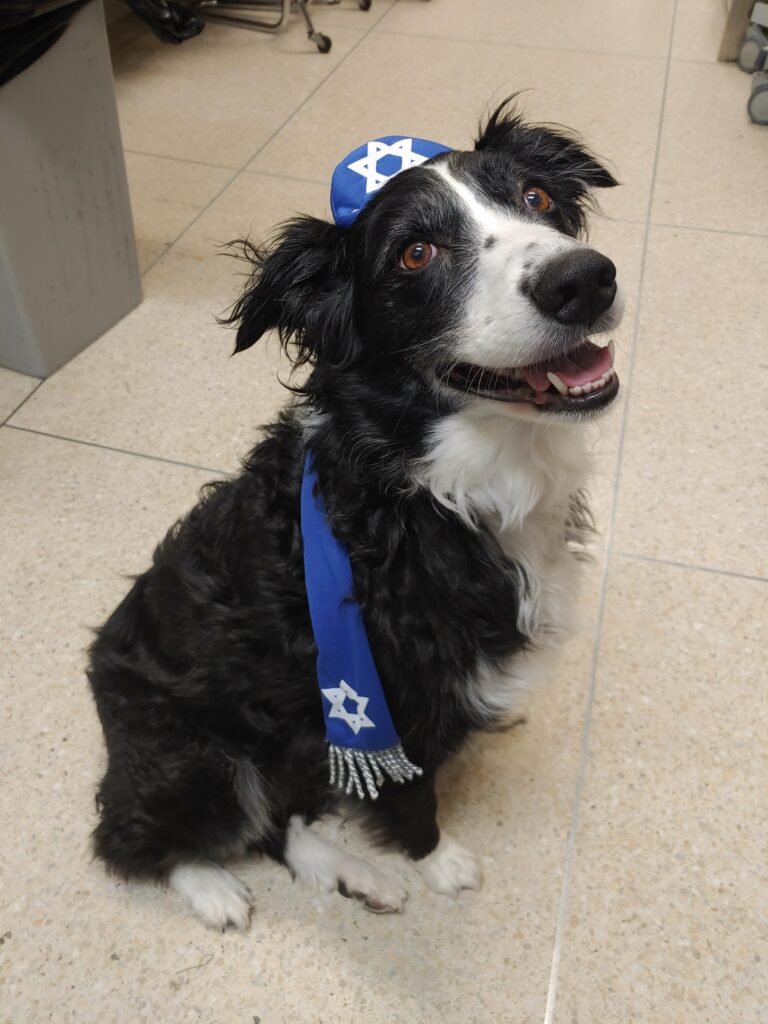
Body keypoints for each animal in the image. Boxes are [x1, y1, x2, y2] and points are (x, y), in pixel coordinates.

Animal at [85, 101, 626, 929]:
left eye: (535, 197)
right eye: (415, 253)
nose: (585, 280)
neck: (436, 487)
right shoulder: (384, 704)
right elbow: (409, 796)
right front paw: (439, 862)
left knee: (285, 820)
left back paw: (350, 873)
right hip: (197, 756)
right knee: (138, 837)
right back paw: (215, 889)